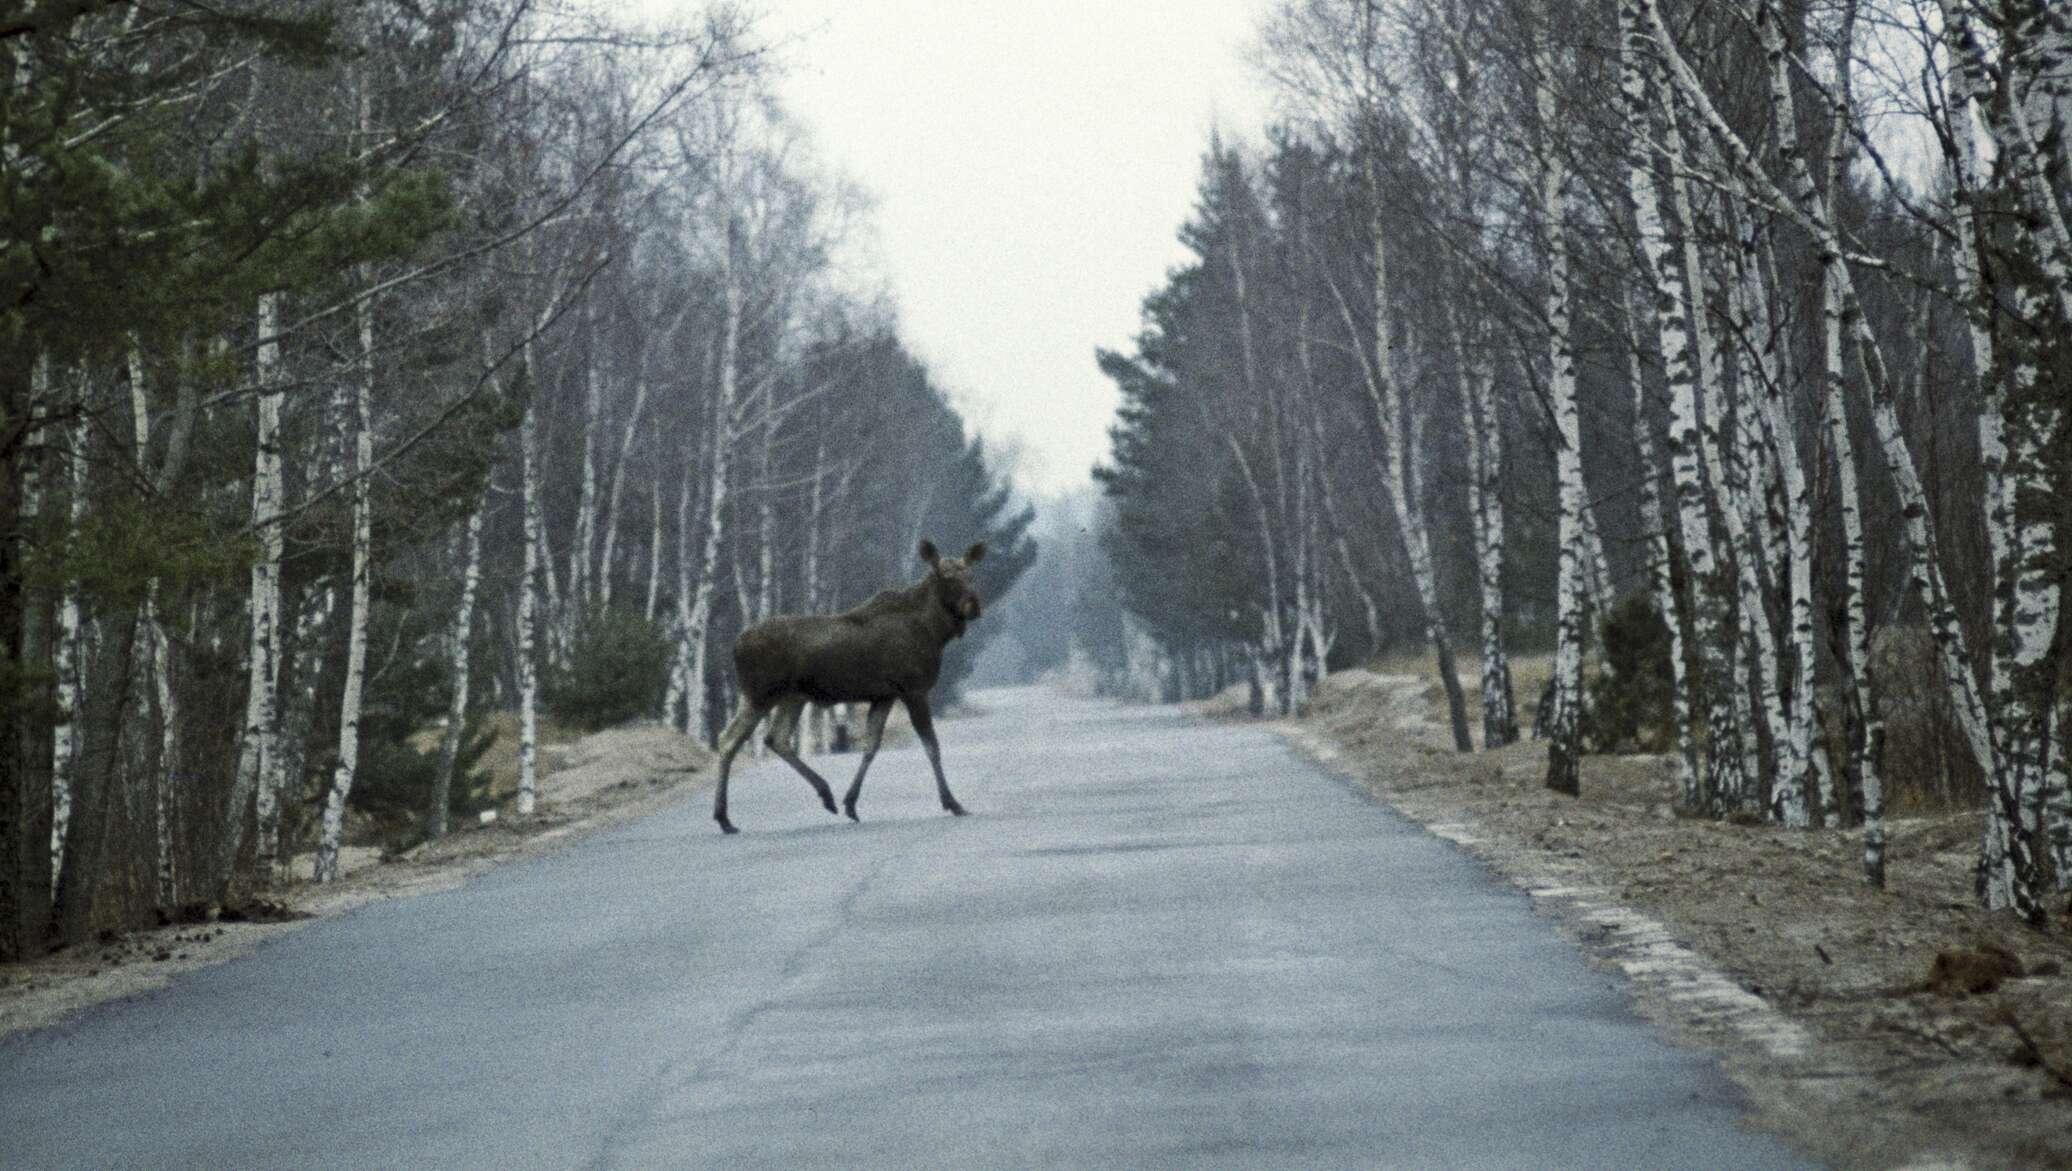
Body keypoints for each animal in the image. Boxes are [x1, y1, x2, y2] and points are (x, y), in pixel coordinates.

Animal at [712, 538, 986, 829]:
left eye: (971, 575)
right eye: (946, 577)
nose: (973, 605)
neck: (934, 633)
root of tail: (736, 645)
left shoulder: (884, 695)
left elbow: (870, 747)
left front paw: (851, 804)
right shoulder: (913, 688)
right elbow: (932, 746)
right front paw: (953, 803)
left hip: (792, 696)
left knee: (776, 738)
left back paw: (825, 795)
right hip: (760, 693)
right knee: (728, 738)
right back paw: (724, 818)